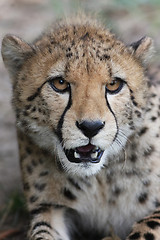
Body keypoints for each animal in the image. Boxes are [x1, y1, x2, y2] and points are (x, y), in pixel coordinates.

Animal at [1, 14, 160, 240]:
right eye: (59, 83)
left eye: (113, 84)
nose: (91, 127)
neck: (101, 178)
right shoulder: (51, 208)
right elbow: (41, 233)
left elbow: (147, 226)